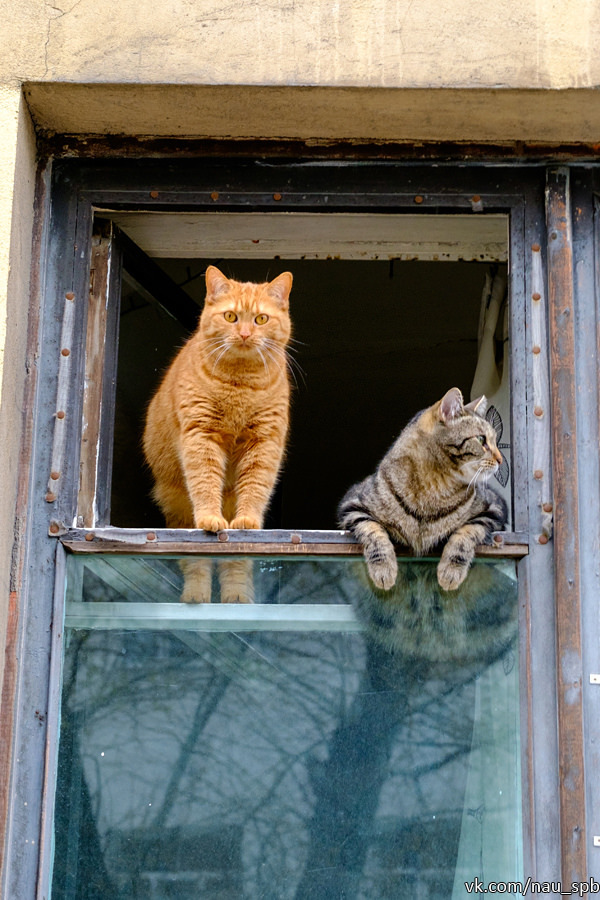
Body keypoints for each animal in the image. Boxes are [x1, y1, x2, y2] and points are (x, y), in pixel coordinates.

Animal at [141, 268, 290, 600]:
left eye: (261, 319)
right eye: (231, 316)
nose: (245, 334)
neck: (240, 384)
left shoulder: (264, 442)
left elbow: (256, 487)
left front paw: (248, 520)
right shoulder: (201, 435)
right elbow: (205, 482)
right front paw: (210, 517)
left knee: (236, 565)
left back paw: (236, 598)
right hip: (177, 507)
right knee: (194, 560)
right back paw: (196, 596)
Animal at [338, 384, 506, 592]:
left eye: (494, 441)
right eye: (482, 440)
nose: (501, 459)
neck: (434, 486)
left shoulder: (494, 508)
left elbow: (466, 534)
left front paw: (450, 572)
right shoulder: (353, 504)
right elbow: (373, 532)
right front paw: (384, 570)